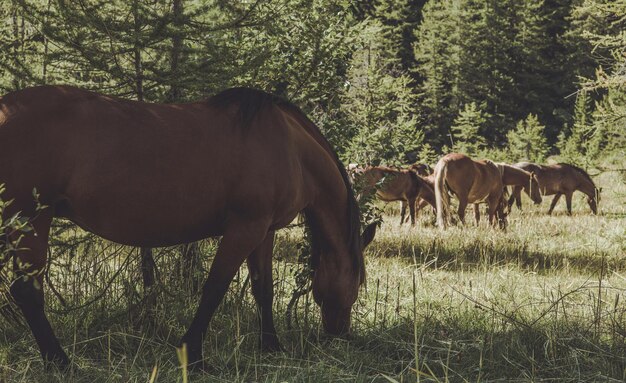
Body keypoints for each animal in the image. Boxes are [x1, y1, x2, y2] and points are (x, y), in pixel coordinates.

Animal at [0, 85, 376, 368]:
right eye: (357, 282)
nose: (340, 333)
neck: (291, 147)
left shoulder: (264, 231)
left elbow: (263, 289)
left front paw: (271, 346)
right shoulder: (245, 228)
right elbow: (214, 288)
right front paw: (193, 355)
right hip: (31, 218)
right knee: (28, 292)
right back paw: (61, 361)